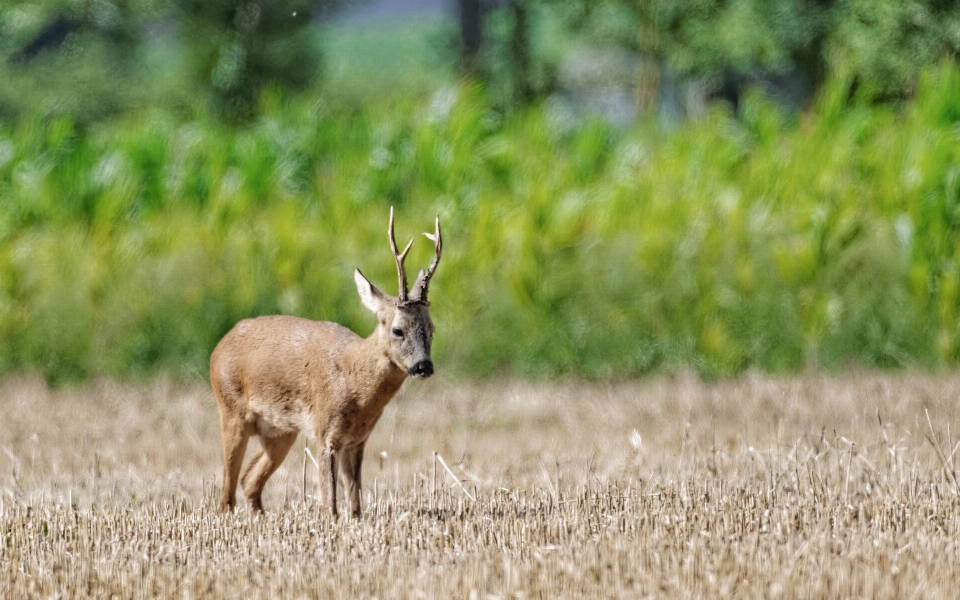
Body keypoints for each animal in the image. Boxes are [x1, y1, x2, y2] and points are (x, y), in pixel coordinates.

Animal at [210, 210, 442, 516]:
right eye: (398, 330)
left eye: (432, 329)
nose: (423, 366)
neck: (355, 382)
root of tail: (218, 347)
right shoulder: (325, 432)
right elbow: (329, 504)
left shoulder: (357, 440)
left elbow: (355, 503)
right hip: (231, 409)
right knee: (226, 494)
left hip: (280, 431)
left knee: (249, 480)